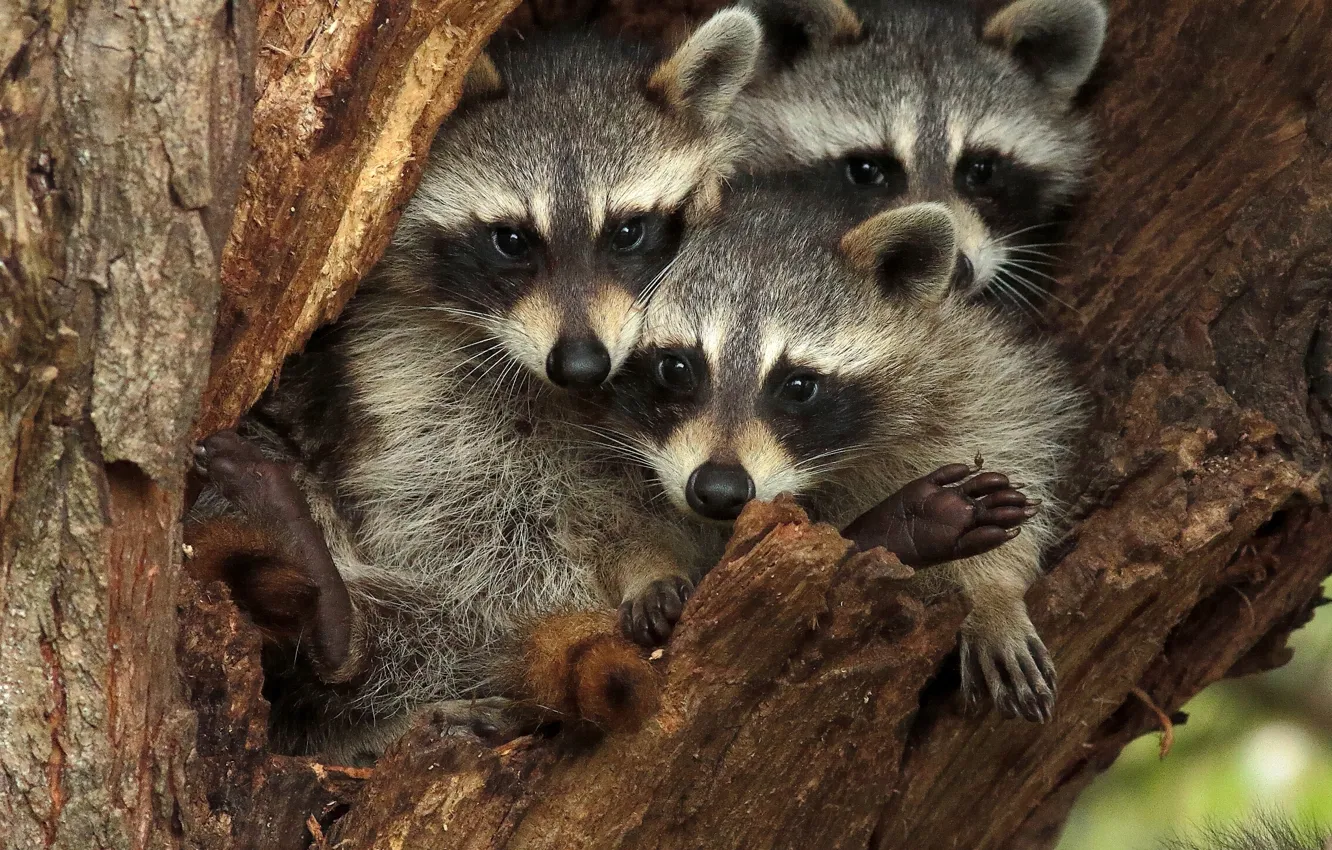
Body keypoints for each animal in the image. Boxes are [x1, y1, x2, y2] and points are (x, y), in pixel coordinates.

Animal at [606, 179, 1085, 720]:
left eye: (798, 385)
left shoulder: (961, 359)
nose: (719, 489)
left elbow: (1011, 433)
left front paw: (993, 593)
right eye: (676, 368)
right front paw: (647, 563)